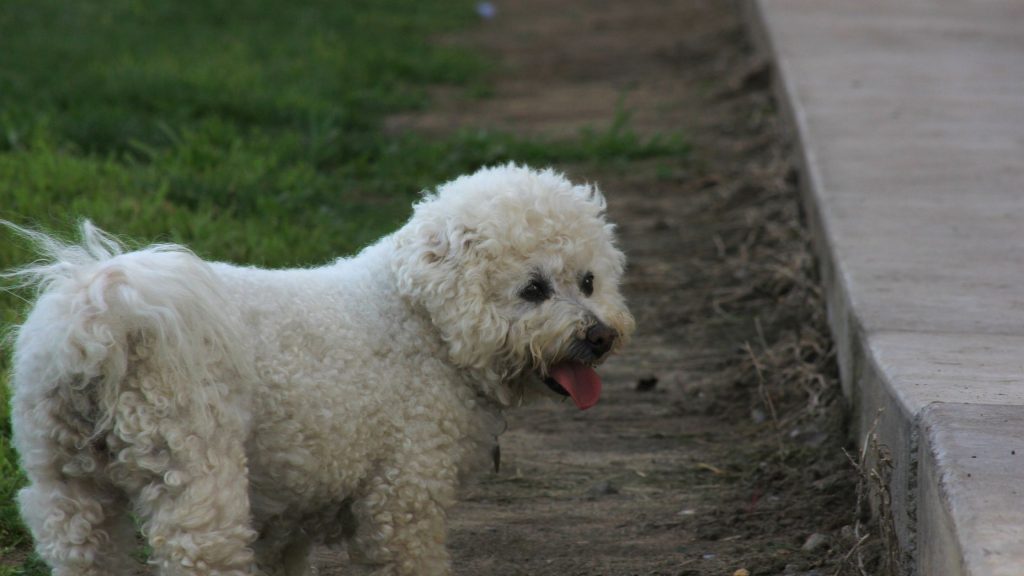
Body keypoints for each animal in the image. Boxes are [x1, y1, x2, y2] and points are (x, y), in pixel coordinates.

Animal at [6, 161, 630, 573]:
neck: (419, 321)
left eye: (588, 282)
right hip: (196, 478)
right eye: (533, 289)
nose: (599, 337)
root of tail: (99, 316)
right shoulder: (403, 499)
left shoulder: (286, 514)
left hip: (67, 487)